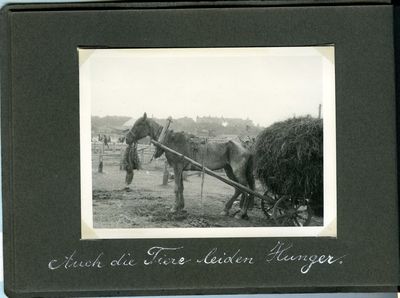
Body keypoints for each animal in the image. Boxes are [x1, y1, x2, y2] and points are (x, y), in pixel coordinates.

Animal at [126, 112, 255, 219]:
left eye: (138, 124)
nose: (127, 138)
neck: (170, 140)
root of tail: (245, 146)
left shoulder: (177, 167)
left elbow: (176, 188)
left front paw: (174, 208)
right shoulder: (180, 169)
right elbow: (181, 188)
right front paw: (181, 206)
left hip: (237, 171)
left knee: (246, 190)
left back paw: (241, 213)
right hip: (229, 170)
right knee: (238, 189)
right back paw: (227, 210)